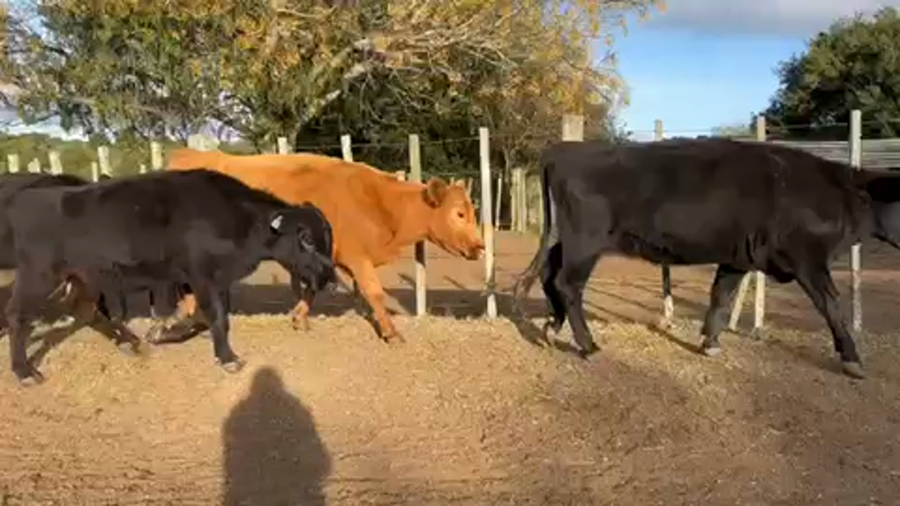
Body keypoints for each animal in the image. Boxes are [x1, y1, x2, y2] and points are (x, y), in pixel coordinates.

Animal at [4, 168, 335, 386]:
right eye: (306, 238)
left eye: (327, 236)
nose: (330, 279)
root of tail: (28, 197)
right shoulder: (202, 275)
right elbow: (216, 317)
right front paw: (228, 359)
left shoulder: (201, 279)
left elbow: (195, 316)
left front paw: (163, 332)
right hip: (39, 276)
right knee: (17, 315)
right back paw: (25, 372)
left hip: (82, 277)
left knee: (84, 310)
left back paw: (130, 342)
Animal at [165, 148, 485, 344]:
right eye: (459, 213)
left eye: (472, 210)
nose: (480, 247)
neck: (378, 200)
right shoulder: (357, 257)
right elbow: (374, 292)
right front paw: (392, 333)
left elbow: (312, 288)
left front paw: (300, 318)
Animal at [513, 137, 900, 380]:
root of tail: (566, 150)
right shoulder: (809, 260)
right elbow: (832, 306)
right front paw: (852, 360)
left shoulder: (738, 257)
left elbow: (720, 296)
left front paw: (710, 343)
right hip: (585, 241)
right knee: (567, 284)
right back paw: (588, 345)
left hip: (564, 240)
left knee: (549, 277)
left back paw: (552, 328)